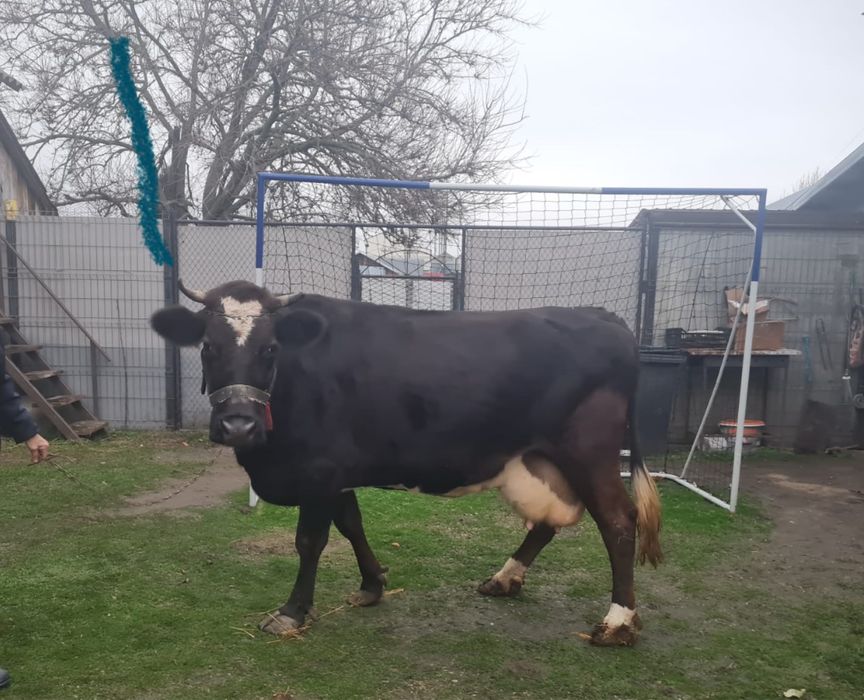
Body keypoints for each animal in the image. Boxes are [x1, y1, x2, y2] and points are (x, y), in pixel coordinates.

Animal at [150, 280, 662, 646]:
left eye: (270, 348)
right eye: (208, 347)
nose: (238, 425)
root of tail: (605, 316)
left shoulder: (318, 469)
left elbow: (310, 541)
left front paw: (292, 611)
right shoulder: (338, 472)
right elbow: (351, 523)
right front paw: (373, 584)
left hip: (588, 452)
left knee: (618, 522)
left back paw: (617, 622)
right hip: (539, 459)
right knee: (548, 521)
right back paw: (504, 578)